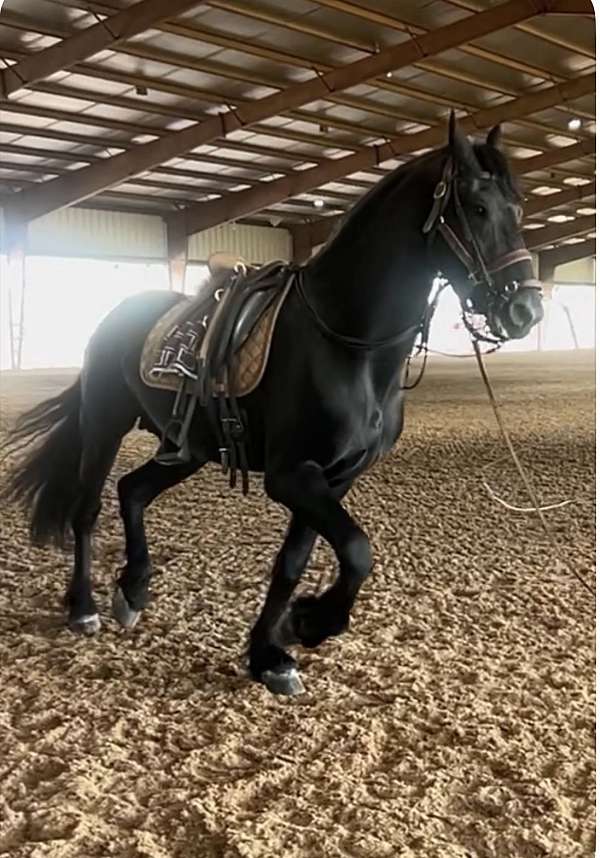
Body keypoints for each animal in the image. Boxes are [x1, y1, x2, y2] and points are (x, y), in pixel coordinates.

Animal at [3, 114, 543, 695]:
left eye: (517, 209)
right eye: (478, 207)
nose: (525, 310)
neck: (347, 344)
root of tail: (117, 315)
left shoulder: (334, 477)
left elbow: (295, 561)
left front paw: (271, 651)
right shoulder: (291, 476)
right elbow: (358, 550)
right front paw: (308, 624)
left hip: (186, 448)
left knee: (133, 491)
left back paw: (134, 590)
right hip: (105, 423)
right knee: (87, 509)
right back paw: (83, 606)